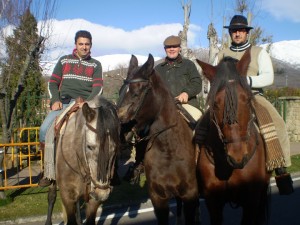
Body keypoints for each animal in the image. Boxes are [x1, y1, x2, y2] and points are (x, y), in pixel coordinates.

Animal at [44, 95, 119, 225]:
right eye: (89, 146)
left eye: (114, 148)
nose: (102, 194)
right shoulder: (67, 196)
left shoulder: (93, 200)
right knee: (52, 196)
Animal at [117, 54, 199, 225]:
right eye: (121, 91)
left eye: (137, 92)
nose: (118, 130)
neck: (168, 148)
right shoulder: (158, 197)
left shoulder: (190, 194)